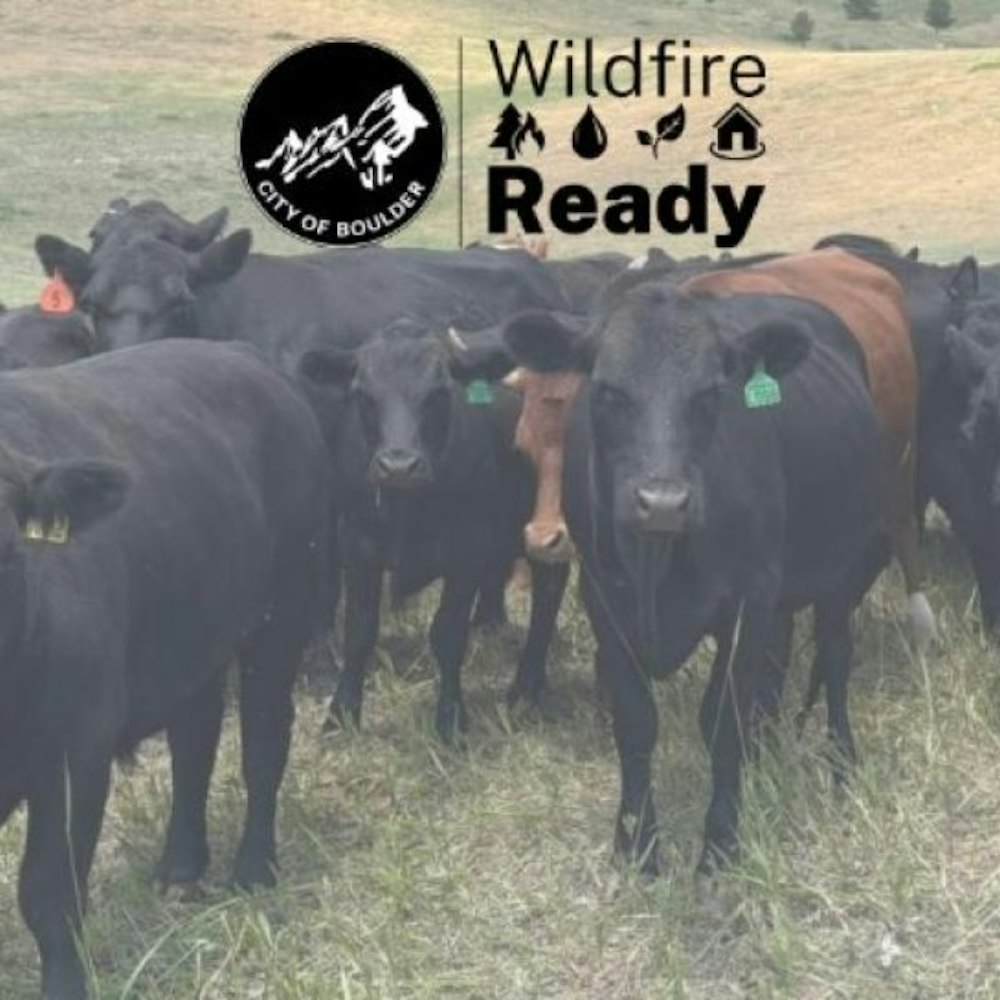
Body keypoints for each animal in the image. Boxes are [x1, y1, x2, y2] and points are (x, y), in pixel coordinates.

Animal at [0, 339, 327, 999]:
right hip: (195, 635)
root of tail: (245, 355)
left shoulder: (76, 748)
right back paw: (181, 866)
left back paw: (253, 869)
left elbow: (48, 894)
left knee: (263, 739)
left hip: (284, 609)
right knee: (194, 739)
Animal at [298, 319, 568, 743]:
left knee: (548, 597)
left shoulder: (467, 548)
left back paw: (525, 689)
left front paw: (451, 721)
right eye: (363, 394)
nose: (399, 466)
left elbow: (448, 634)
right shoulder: (358, 544)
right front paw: (340, 718)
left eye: (439, 393)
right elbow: (359, 632)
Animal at [473, 284, 885, 875]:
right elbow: (635, 719)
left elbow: (723, 720)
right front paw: (636, 843)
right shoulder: (604, 600)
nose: (662, 503)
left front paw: (720, 842)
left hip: (838, 571)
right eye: (607, 391)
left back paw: (840, 764)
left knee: (832, 658)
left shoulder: (746, 601)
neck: (657, 563)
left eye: (711, 393)